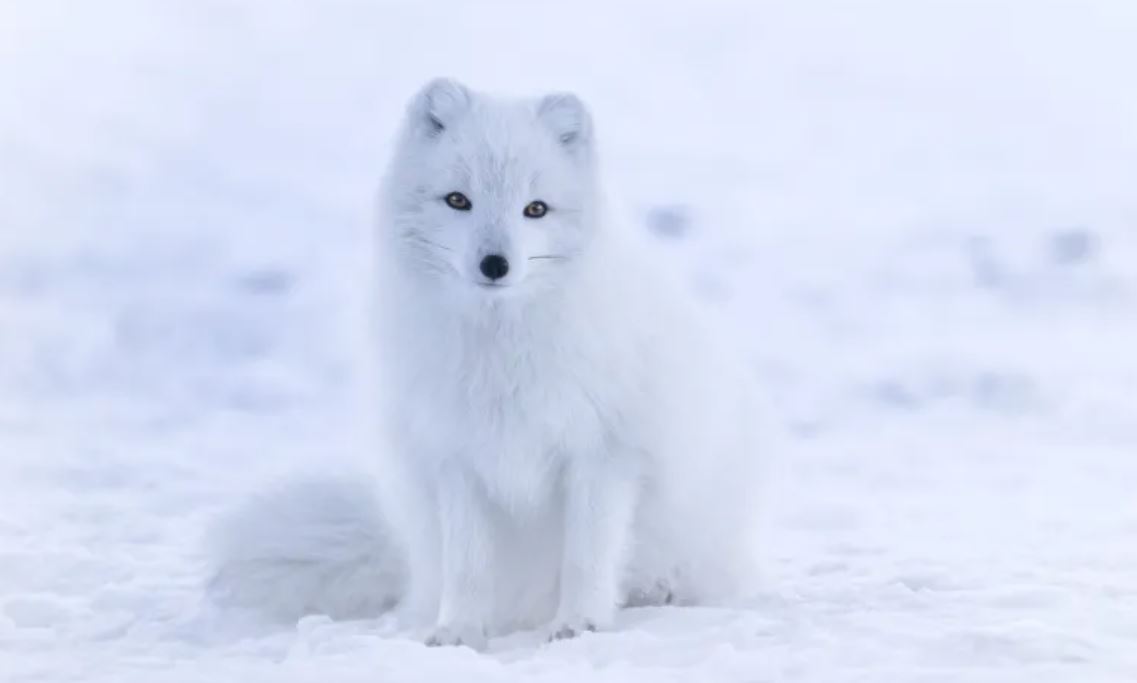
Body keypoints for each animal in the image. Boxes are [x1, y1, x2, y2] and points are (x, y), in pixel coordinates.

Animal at [208, 78, 763, 650]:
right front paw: (459, 631)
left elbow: (586, 556)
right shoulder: (456, 457)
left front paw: (580, 624)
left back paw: (658, 590)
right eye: (458, 200)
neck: (502, 350)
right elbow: (469, 565)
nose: (495, 264)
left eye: (535, 209)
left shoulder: (602, 453)